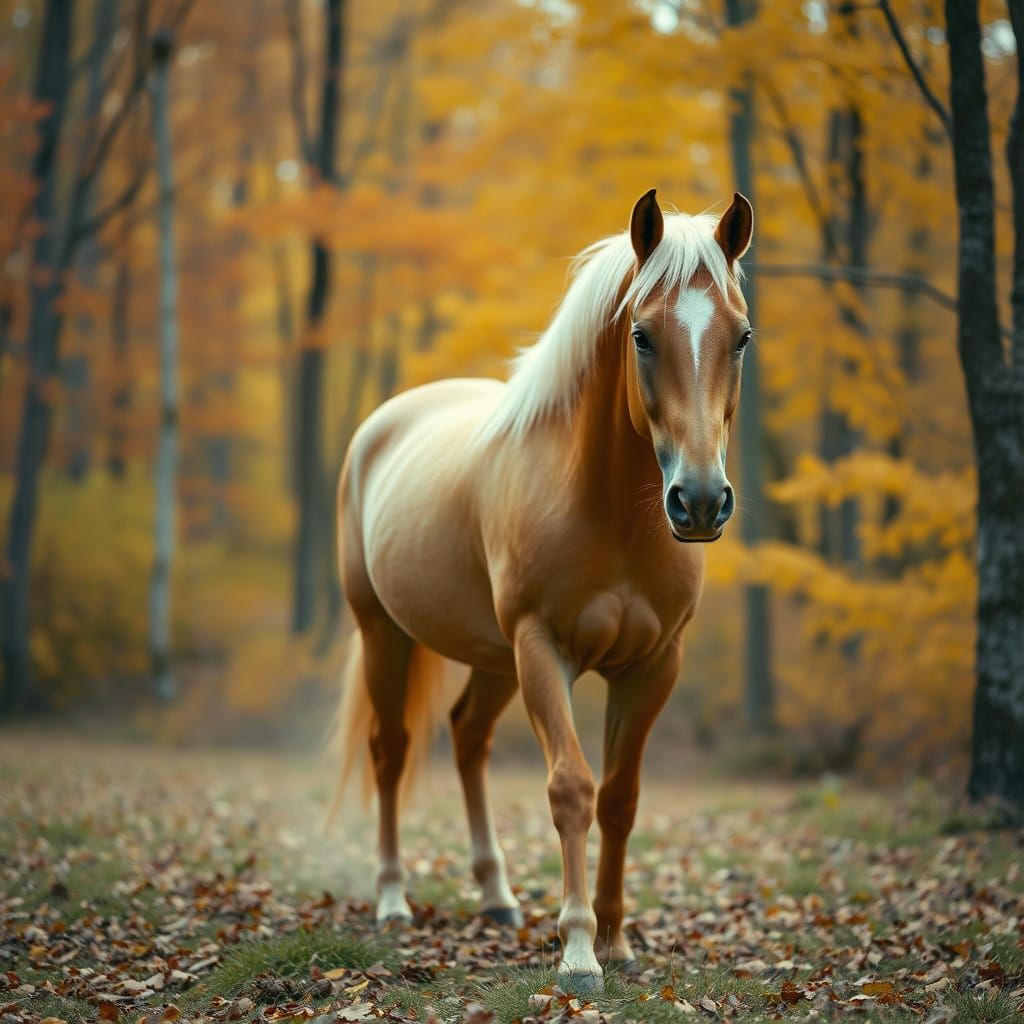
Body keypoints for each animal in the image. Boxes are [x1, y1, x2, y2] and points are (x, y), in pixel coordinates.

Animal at [333, 188, 754, 994]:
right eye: (642, 336)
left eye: (743, 337)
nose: (699, 502)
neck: (607, 511)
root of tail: (381, 425)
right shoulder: (542, 648)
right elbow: (571, 789)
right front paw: (579, 952)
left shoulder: (652, 665)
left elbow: (620, 797)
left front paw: (617, 940)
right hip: (386, 635)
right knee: (390, 749)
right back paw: (393, 898)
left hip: (495, 660)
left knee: (468, 737)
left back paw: (497, 897)